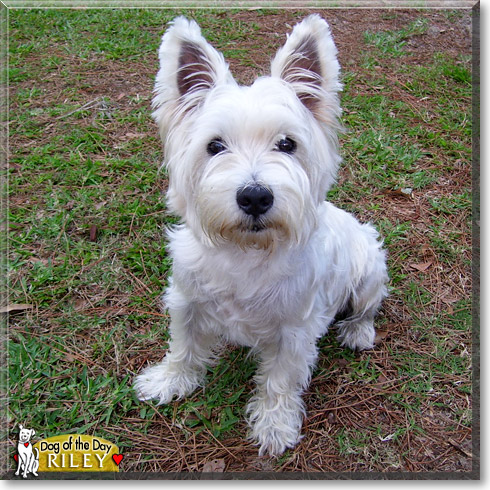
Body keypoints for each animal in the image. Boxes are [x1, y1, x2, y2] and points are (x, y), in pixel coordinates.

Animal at [134, 14, 386, 456]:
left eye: (287, 143)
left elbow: (280, 380)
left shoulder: (295, 330)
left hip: (370, 266)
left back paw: (358, 331)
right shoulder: (186, 300)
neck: (247, 251)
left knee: (366, 307)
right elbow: (183, 347)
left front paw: (274, 425)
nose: (255, 196)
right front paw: (169, 381)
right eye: (214, 146)